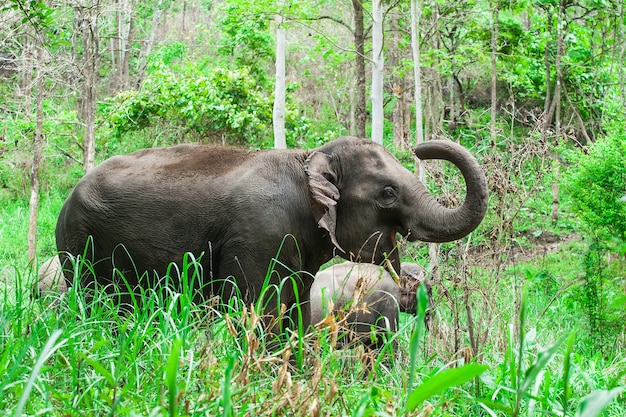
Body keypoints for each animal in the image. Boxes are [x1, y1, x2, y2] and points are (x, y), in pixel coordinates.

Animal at [54, 136, 488, 328]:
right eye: (388, 193)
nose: (420, 147)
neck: (309, 158)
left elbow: (296, 311)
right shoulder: (258, 236)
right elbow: (259, 313)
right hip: (79, 246)